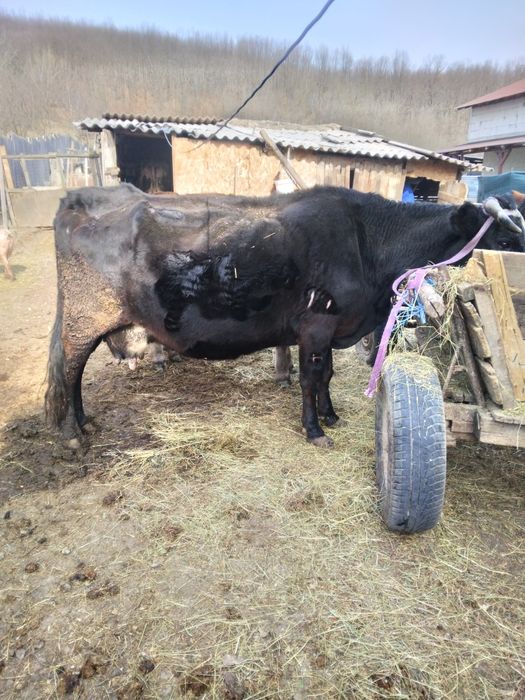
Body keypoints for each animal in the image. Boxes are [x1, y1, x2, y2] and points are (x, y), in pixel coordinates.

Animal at [45, 184, 525, 449]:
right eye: (505, 237)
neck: (367, 243)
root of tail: (80, 197)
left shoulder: (330, 329)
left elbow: (327, 373)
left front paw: (331, 416)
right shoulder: (316, 323)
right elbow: (311, 378)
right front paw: (314, 429)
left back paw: (84, 422)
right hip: (85, 318)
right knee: (70, 370)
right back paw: (72, 434)